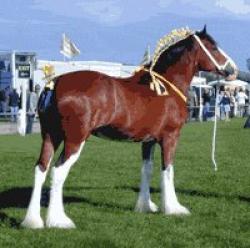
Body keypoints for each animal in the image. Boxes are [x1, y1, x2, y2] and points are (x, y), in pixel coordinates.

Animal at [21, 25, 236, 229]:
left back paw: (33, 221)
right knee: (58, 171)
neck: (165, 87)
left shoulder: (148, 141)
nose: (232, 70)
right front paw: (173, 208)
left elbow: (147, 169)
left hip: (51, 135)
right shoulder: (170, 137)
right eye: (213, 47)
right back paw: (59, 220)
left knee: (41, 168)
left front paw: (145, 206)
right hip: (75, 139)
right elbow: (168, 169)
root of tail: (55, 83)